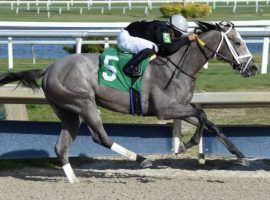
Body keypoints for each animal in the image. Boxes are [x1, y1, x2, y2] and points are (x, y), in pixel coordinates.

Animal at [0, 21, 258, 183]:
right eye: (237, 42)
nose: (253, 68)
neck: (178, 66)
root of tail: (50, 69)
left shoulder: (180, 108)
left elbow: (209, 121)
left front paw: (240, 155)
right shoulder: (166, 109)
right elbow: (202, 115)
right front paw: (184, 146)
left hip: (68, 112)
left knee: (61, 147)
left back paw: (74, 181)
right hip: (83, 103)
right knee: (101, 137)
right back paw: (142, 159)